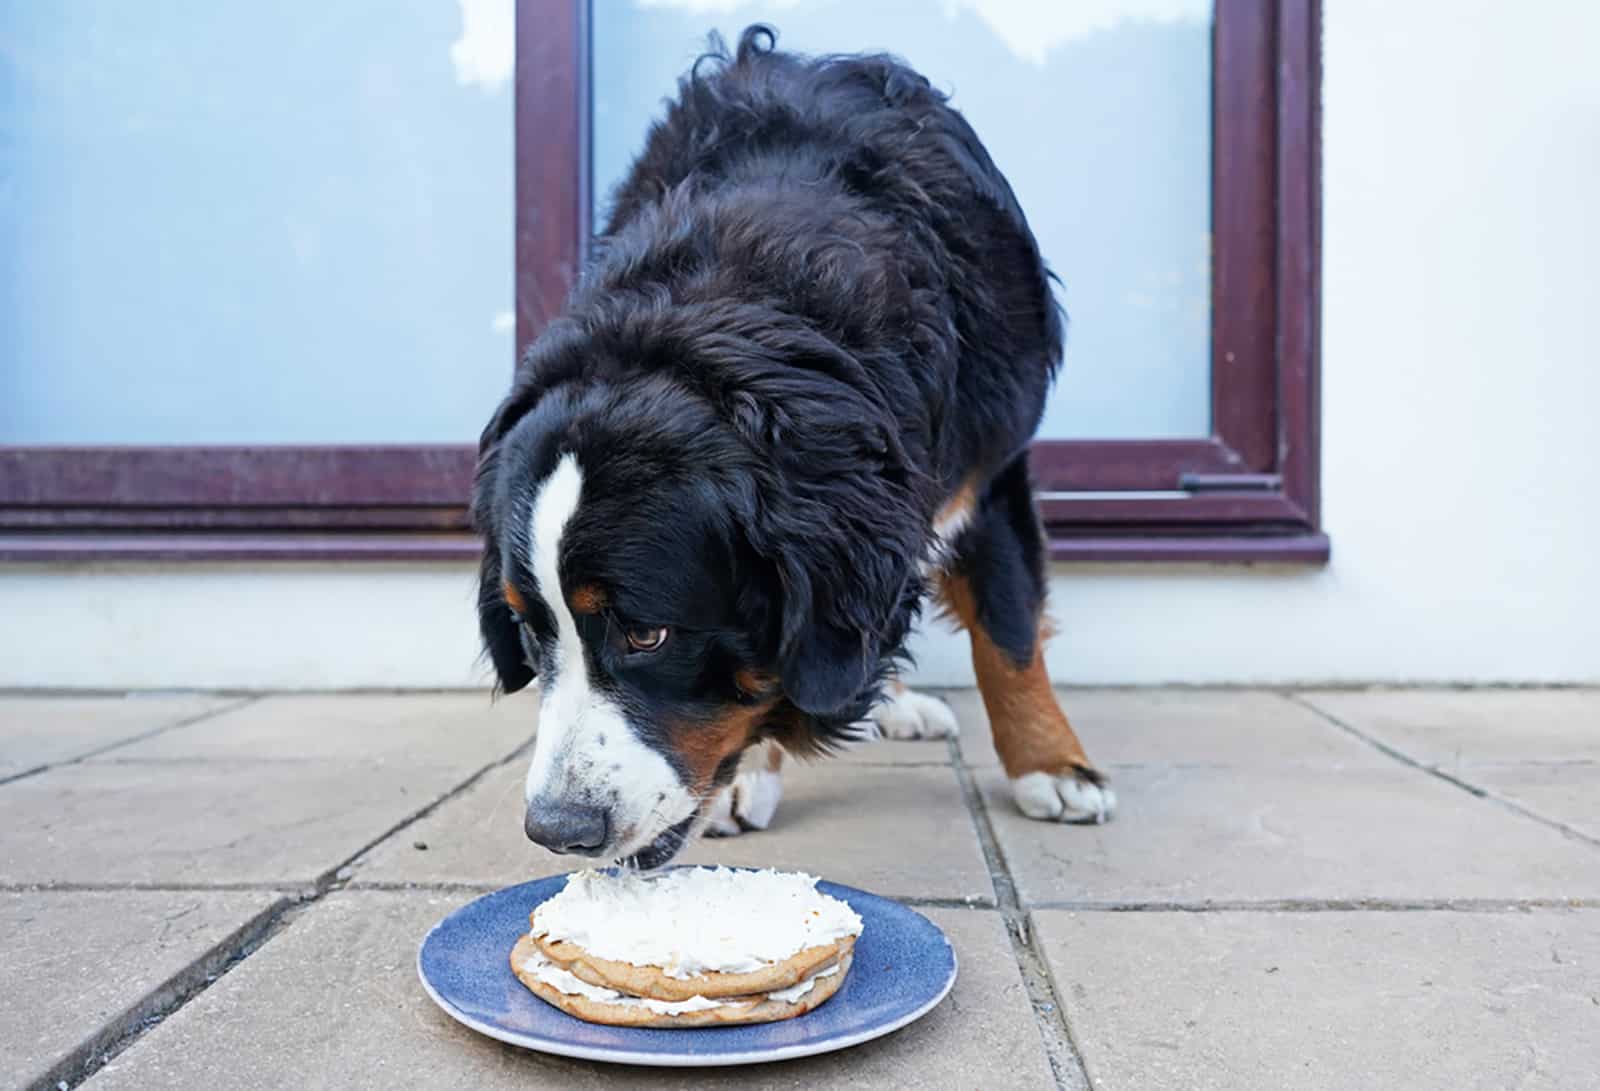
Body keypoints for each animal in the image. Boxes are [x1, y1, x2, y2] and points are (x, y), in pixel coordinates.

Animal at [473, 27, 1113, 863]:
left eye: (648, 634)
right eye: (526, 626)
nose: (557, 830)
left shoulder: (989, 461)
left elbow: (1008, 630)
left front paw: (1053, 765)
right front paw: (745, 777)